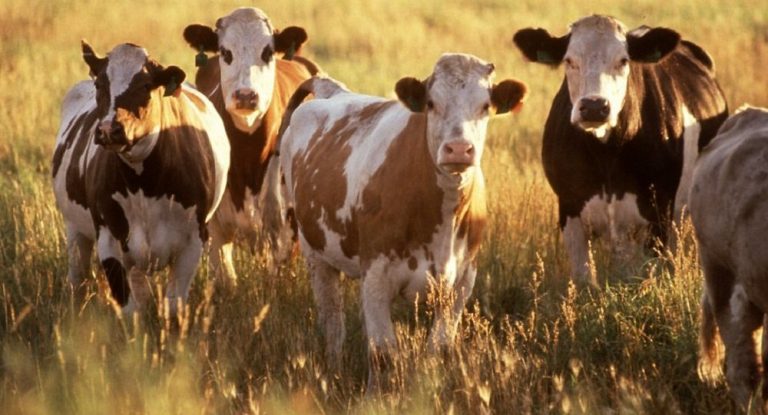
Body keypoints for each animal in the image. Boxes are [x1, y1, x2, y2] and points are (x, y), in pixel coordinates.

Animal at [51, 41, 230, 313]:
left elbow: (174, 305)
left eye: (146, 85)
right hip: (75, 229)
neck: (144, 184)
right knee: (77, 277)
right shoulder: (109, 239)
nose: (109, 129)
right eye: (100, 84)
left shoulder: (193, 241)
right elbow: (129, 308)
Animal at [279, 54, 527, 390]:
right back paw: (333, 371)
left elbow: (438, 349)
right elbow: (382, 353)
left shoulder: (462, 281)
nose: (458, 149)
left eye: (485, 105)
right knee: (333, 323)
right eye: (432, 103)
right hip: (316, 255)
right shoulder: (375, 275)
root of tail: (333, 91)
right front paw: (376, 396)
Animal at [513, 15, 728, 286]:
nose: (594, 106)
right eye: (569, 60)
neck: (605, 155)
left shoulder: (659, 211)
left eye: (623, 61)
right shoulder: (569, 208)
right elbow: (585, 280)